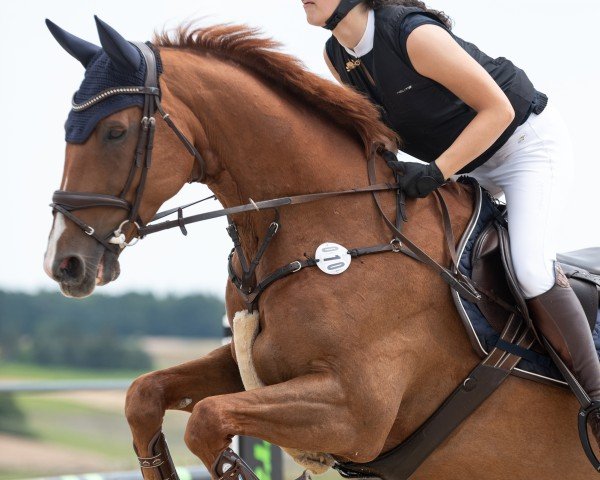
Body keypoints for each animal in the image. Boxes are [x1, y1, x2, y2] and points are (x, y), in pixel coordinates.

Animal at [44, 20, 592, 480]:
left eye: (116, 132)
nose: (63, 263)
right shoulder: (251, 363)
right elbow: (144, 394)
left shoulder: (354, 410)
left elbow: (206, 419)